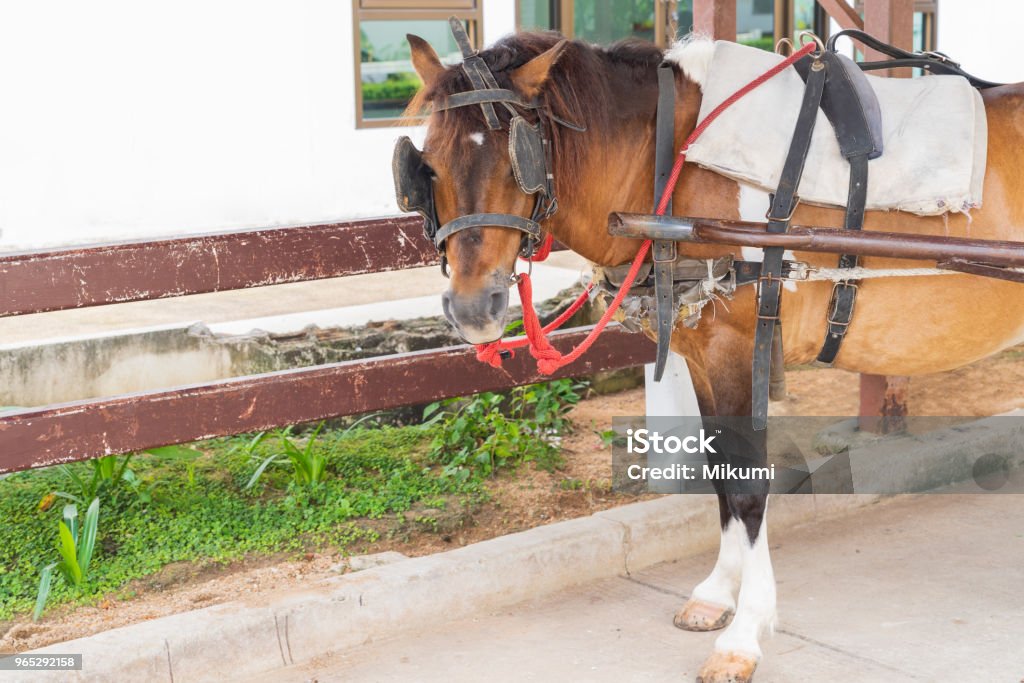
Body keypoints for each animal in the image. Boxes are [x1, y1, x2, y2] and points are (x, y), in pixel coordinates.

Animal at [401, 30, 1024, 683]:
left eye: (516, 164)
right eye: (429, 166)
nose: (474, 308)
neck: (672, 165)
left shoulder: (737, 347)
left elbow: (748, 487)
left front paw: (744, 634)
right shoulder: (702, 353)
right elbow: (723, 475)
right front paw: (717, 593)